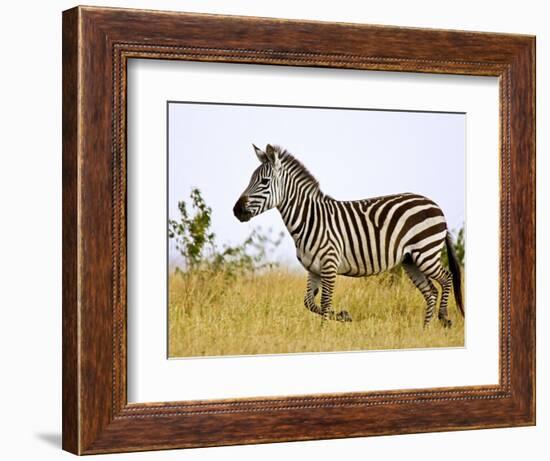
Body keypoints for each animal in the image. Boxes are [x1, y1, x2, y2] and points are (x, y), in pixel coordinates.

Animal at [234, 144, 466, 328]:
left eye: (264, 181)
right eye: (250, 179)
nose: (236, 210)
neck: (310, 218)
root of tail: (435, 205)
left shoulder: (329, 264)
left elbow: (325, 302)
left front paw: (323, 333)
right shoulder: (313, 269)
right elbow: (309, 303)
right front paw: (343, 316)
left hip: (425, 252)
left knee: (446, 278)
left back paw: (444, 318)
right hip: (411, 260)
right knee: (431, 291)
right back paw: (425, 330)